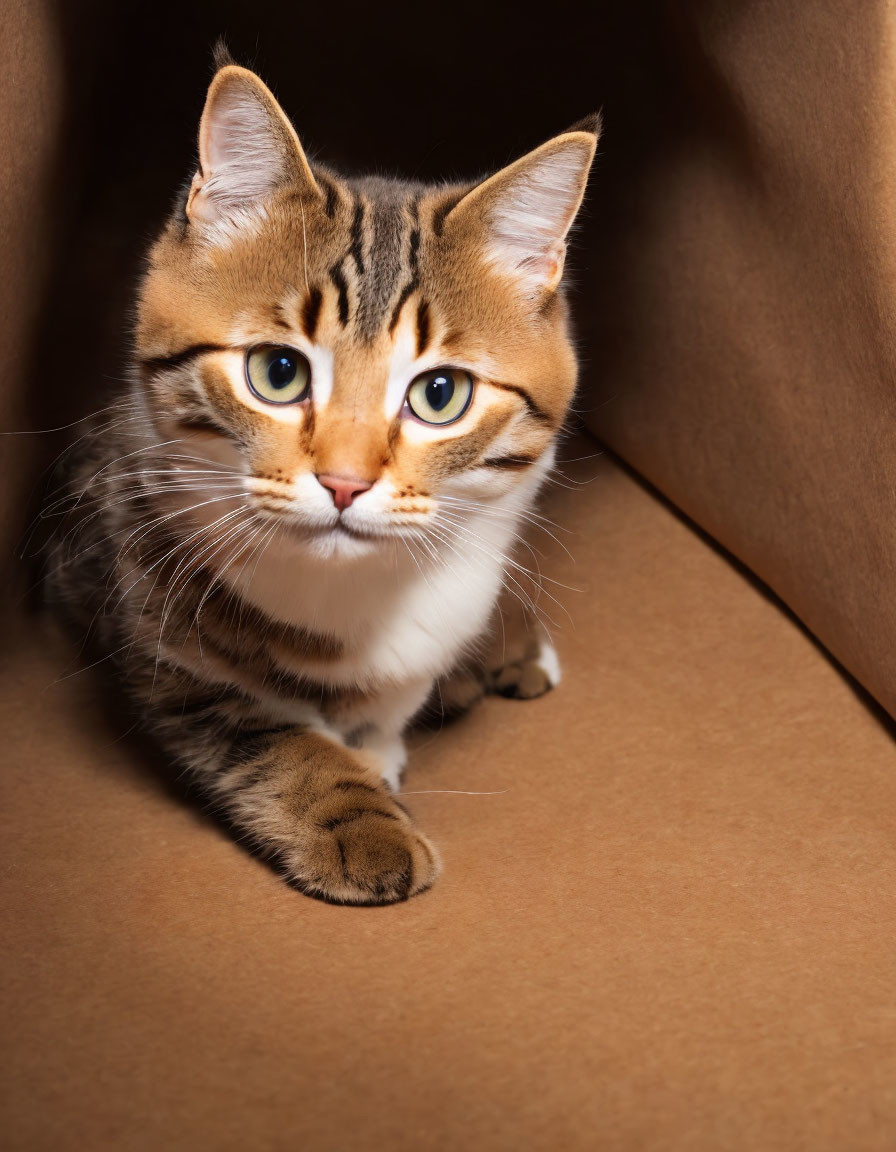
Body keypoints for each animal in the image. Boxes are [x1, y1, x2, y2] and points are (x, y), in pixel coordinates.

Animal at [45, 58, 598, 903]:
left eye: (441, 394)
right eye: (278, 372)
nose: (343, 482)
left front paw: (389, 729)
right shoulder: (152, 622)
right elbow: (268, 738)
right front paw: (360, 817)